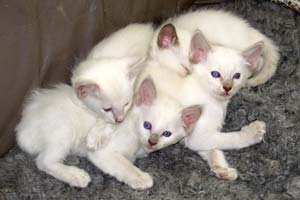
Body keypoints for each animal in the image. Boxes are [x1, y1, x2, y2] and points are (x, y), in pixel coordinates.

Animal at [143, 25, 268, 180]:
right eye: (215, 74)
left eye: (236, 76)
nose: (227, 88)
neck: (216, 102)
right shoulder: (198, 136)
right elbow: (229, 139)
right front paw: (253, 132)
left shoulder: (200, 135)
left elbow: (213, 149)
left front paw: (222, 169)